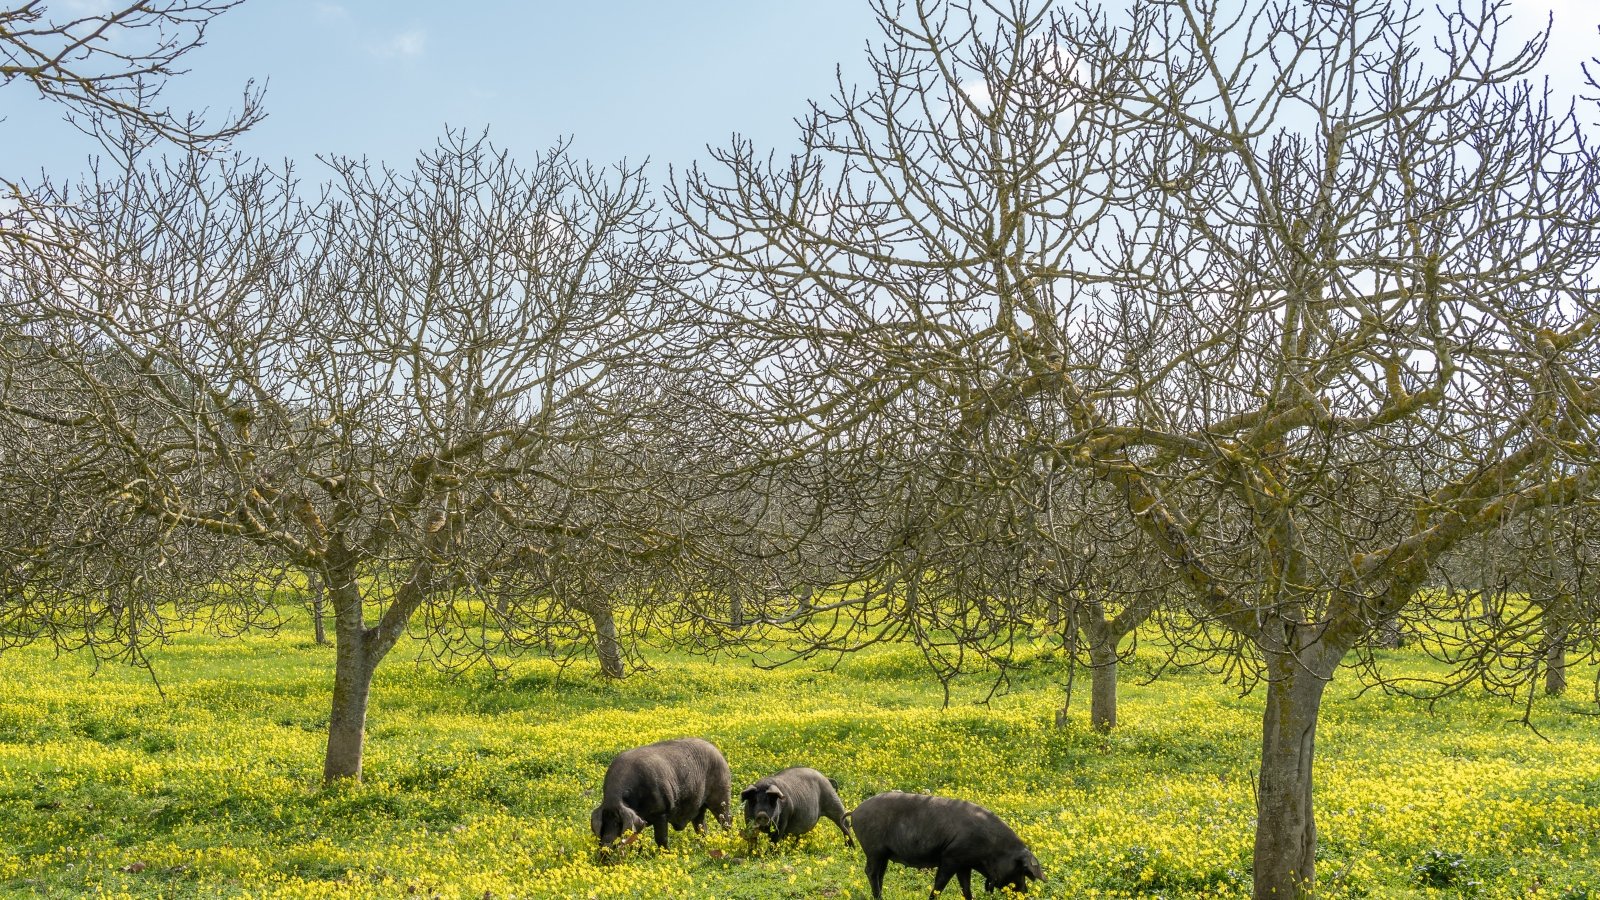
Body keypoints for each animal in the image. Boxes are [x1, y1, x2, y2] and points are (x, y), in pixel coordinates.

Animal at [592, 736, 732, 845]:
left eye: (619, 823)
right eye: (604, 823)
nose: (605, 847)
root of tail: (717, 751)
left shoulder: (661, 812)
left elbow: (661, 838)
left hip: (721, 795)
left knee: (726, 819)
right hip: (699, 806)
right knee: (701, 825)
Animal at [857, 787, 1043, 890]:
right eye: (1020, 869)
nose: (1025, 892)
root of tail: (855, 812)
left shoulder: (964, 865)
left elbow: (966, 889)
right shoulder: (951, 858)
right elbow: (939, 885)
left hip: (884, 854)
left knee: (880, 875)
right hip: (873, 849)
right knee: (871, 872)